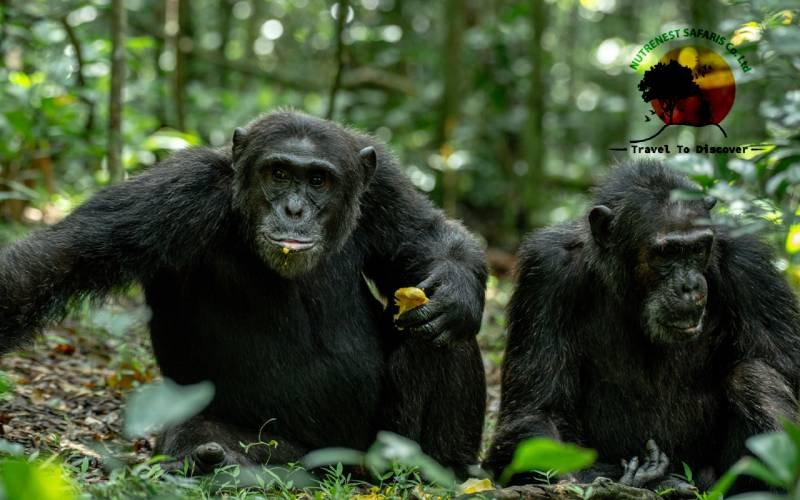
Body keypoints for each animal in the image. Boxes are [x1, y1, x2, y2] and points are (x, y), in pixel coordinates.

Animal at [0, 109, 488, 476]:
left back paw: (440, 469)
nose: (294, 209)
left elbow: (426, 237)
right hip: (286, 450)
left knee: (444, 338)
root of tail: (341, 466)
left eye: (318, 181)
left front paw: (456, 294)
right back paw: (211, 463)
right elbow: (64, 257)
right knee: (202, 434)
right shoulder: (177, 190)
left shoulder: (384, 184)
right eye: (279, 173)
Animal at [484, 161, 800, 492]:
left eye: (698, 249)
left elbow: (785, 368)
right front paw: (633, 479)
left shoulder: (751, 267)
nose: (689, 285)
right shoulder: (545, 272)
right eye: (667, 253)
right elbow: (535, 411)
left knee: (752, 375)